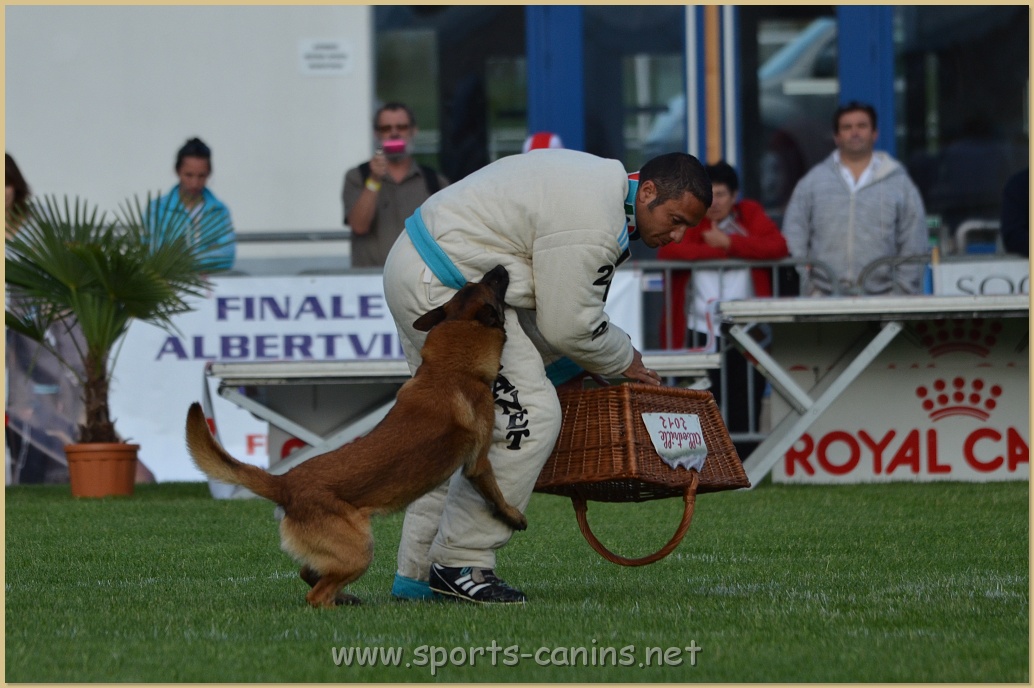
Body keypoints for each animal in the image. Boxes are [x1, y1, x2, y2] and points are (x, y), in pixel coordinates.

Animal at [185, 264, 527, 607]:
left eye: (475, 282)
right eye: (492, 284)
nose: (499, 267)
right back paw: (340, 604)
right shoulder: (478, 464)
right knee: (315, 596)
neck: (448, 369)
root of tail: (284, 484)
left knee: (308, 573)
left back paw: (346, 597)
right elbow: (497, 494)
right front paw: (514, 517)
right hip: (359, 550)